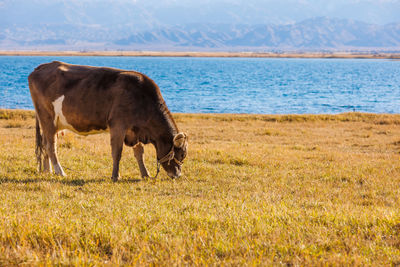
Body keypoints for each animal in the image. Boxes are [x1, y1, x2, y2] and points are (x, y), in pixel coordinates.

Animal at [28, 61, 188, 182]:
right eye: (181, 155)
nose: (177, 175)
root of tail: (41, 67)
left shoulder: (135, 130)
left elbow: (139, 152)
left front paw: (145, 174)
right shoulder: (118, 125)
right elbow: (117, 152)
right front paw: (115, 176)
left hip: (51, 123)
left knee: (45, 143)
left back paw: (47, 170)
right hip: (47, 118)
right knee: (51, 146)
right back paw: (60, 172)